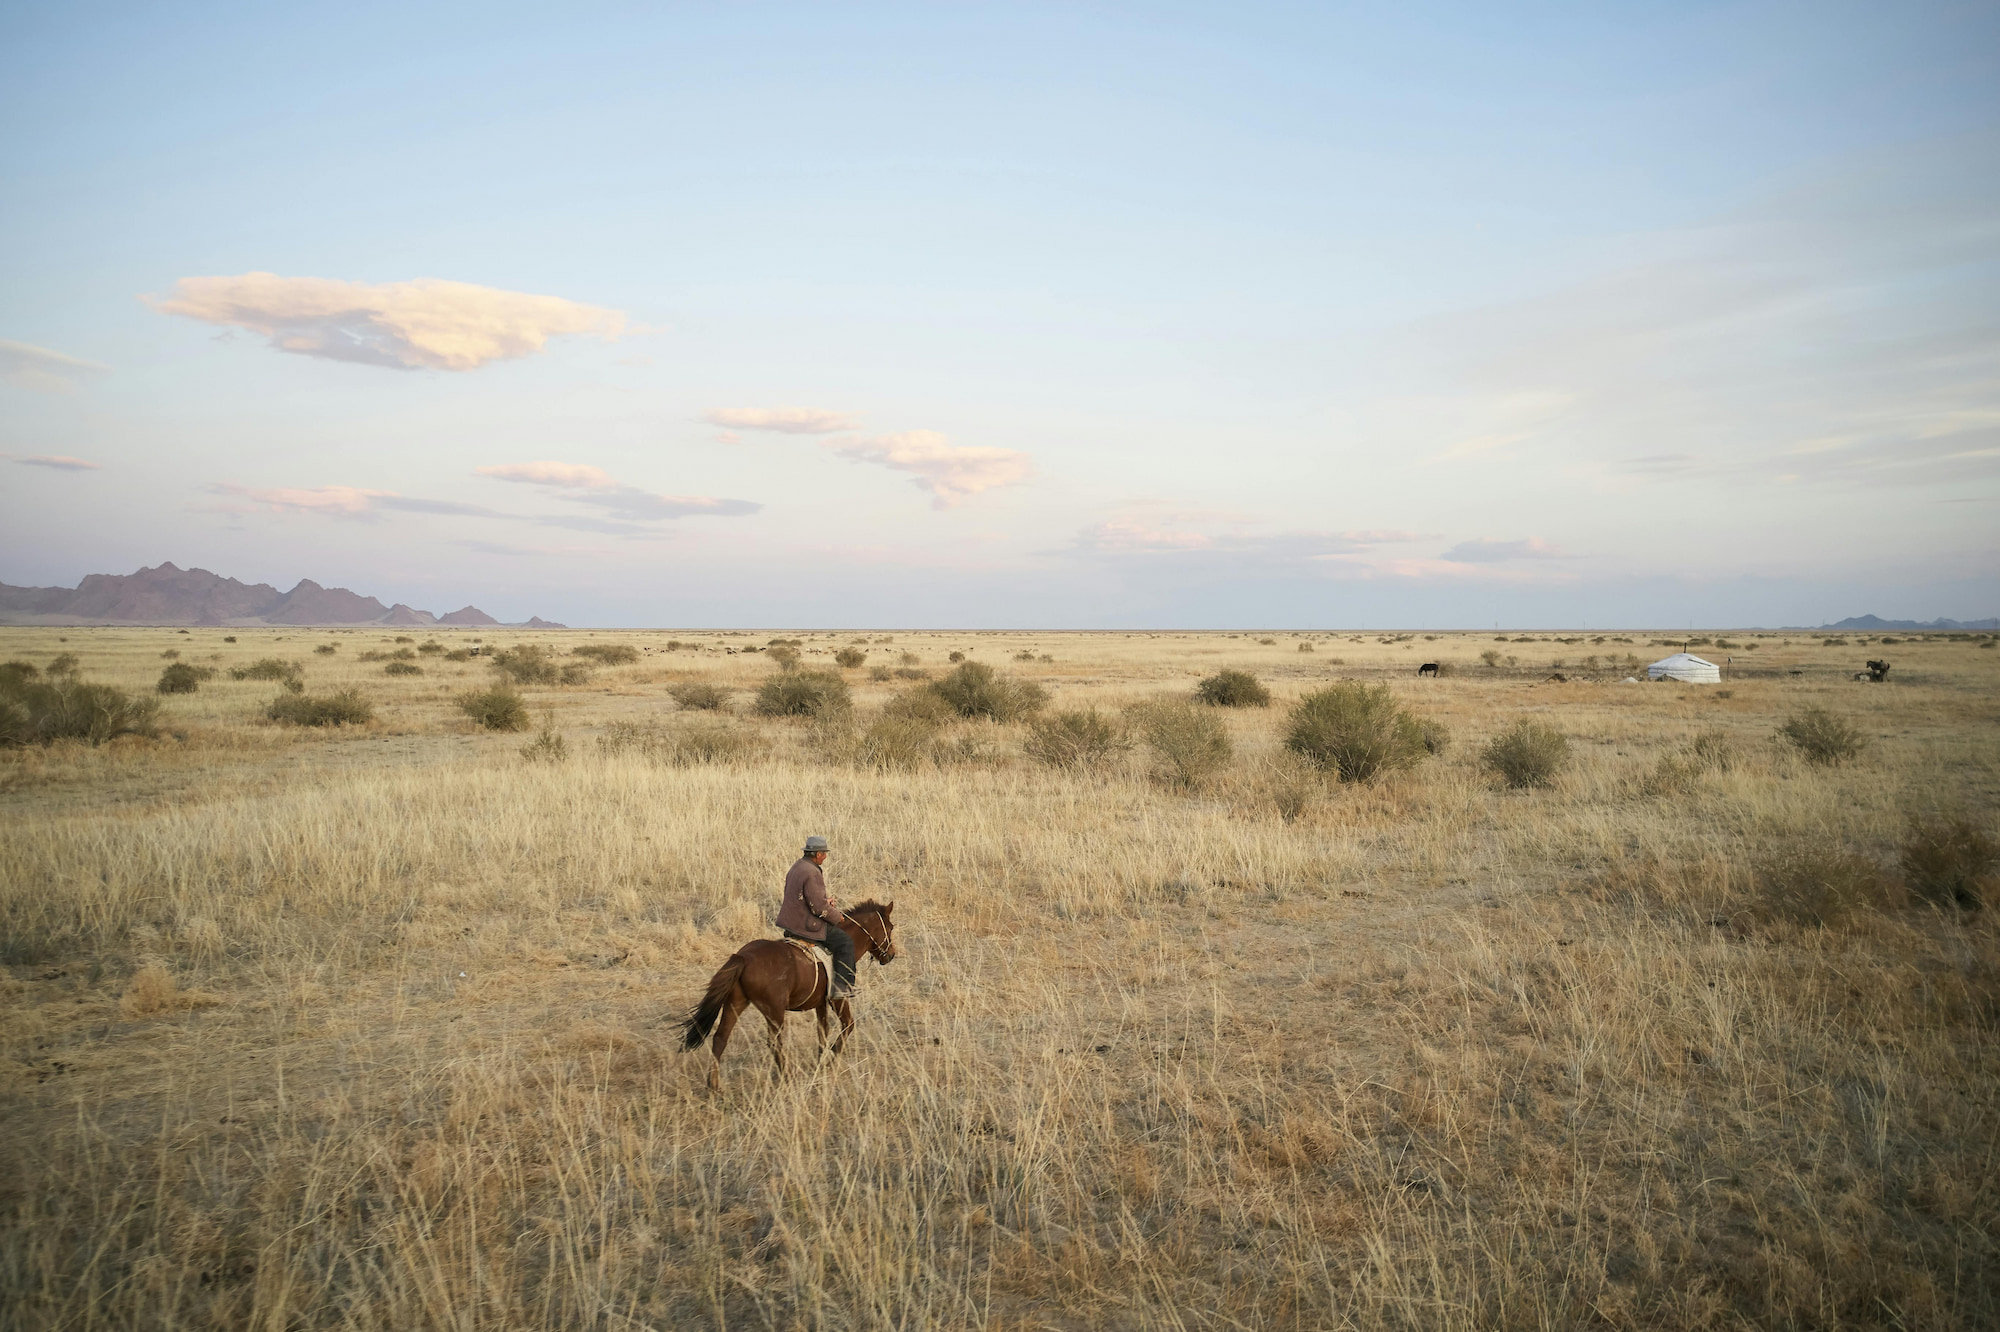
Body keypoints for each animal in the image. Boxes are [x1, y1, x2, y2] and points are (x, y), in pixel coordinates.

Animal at [674, 900, 898, 1088]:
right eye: (890, 927)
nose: (891, 955)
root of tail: (743, 957)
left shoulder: (820, 1004)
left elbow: (822, 1033)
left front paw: (820, 1062)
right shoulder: (837, 999)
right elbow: (848, 1025)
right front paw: (830, 1061)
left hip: (735, 1003)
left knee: (720, 1038)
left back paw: (714, 1086)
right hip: (774, 1010)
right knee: (774, 1042)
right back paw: (787, 1076)